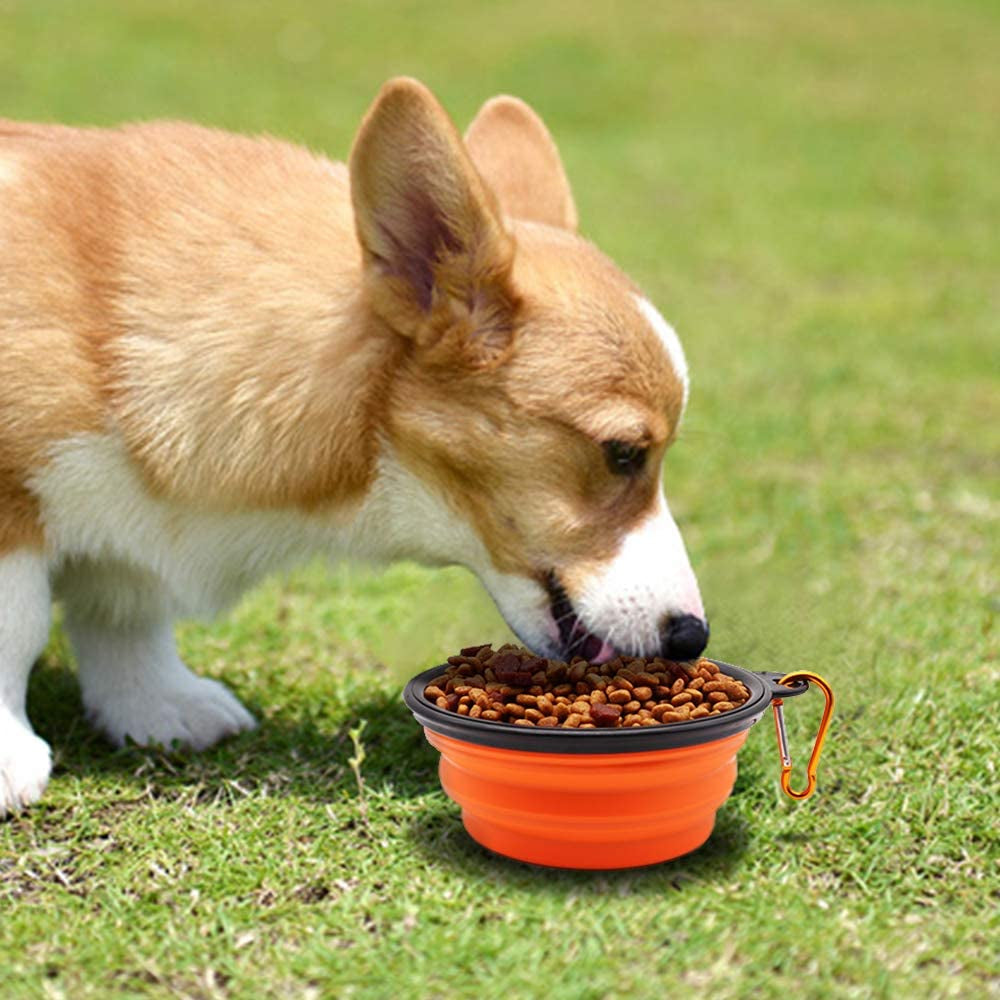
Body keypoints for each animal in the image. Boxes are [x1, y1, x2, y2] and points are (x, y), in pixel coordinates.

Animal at [0, 78, 708, 812]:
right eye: (622, 452)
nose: (693, 637)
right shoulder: (12, 502)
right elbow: (17, 625)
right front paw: (11, 759)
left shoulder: (128, 532)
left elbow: (125, 612)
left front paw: (158, 706)